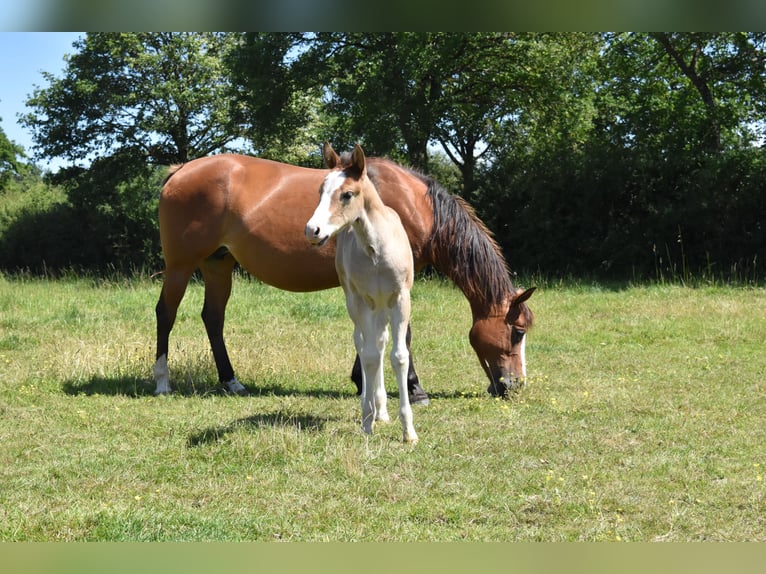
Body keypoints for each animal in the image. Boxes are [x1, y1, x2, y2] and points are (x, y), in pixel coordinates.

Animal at [153, 147, 535, 401]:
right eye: (517, 332)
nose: (514, 385)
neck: (411, 205)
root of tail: (180, 171)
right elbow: (403, 333)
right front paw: (414, 388)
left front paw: (362, 380)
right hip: (181, 266)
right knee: (166, 314)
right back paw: (162, 382)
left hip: (217, 264)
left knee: (213, 318)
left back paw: (231, 381)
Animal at [306, 143, 417, 442]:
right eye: (320, 191)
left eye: (347, 194)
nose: (312, 230)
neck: (376, 249)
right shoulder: (361, 302)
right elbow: (368, 357)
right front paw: (367, 422)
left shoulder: (400, 300)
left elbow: (399, 356)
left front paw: (409, 431)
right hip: (358, 304)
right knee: (365, 344)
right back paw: (371, 408)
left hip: (382, 307)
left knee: (380, 343)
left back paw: (382, 410)